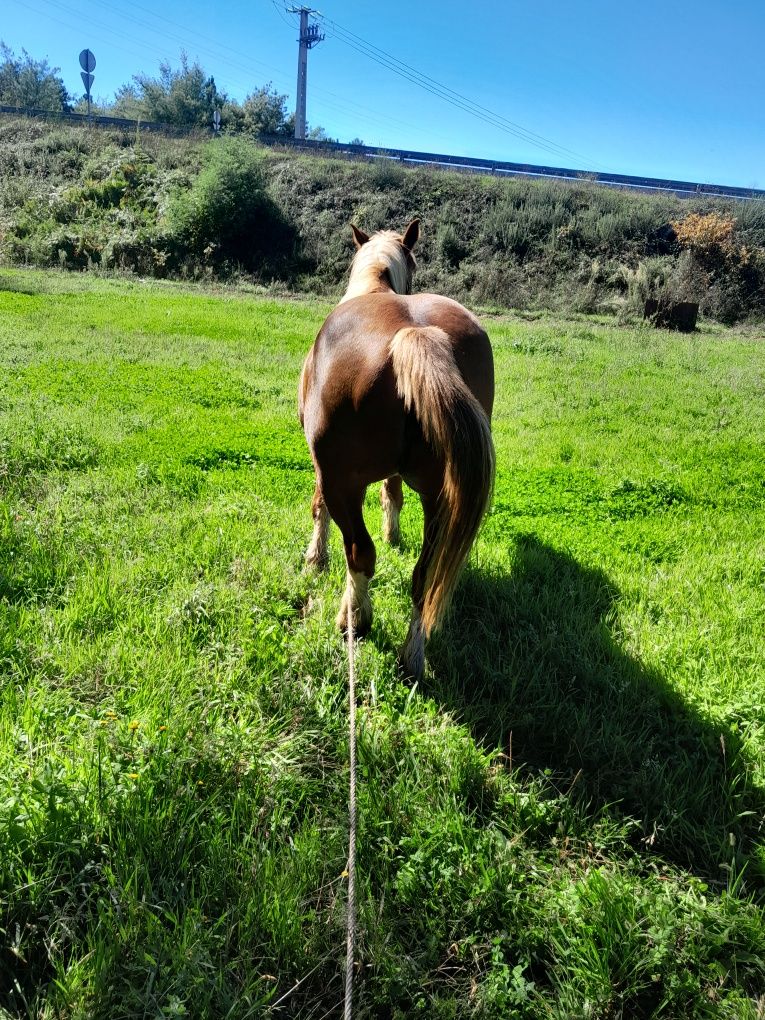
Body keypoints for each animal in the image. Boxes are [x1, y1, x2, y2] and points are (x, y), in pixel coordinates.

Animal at [295, 222, 493, 681]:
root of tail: (414, 335)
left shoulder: (325, 471)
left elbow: (319, 509)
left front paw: (315, 558)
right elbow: (393, 493)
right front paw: (394, 532)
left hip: (344, 485)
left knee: (360, 555)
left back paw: (353, 619)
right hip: (441, 496)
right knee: (425, 577)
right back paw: (412, 657)